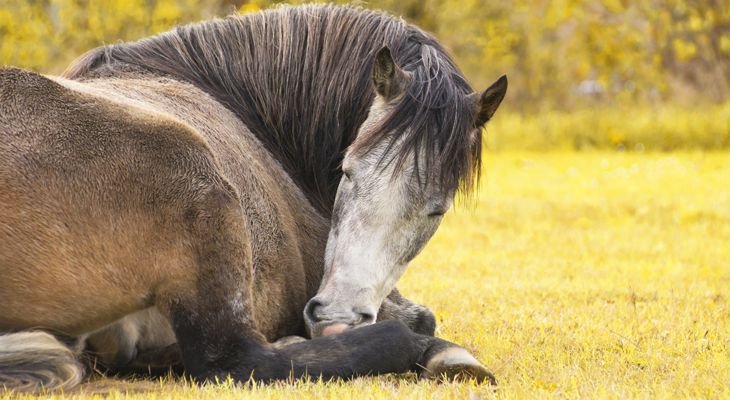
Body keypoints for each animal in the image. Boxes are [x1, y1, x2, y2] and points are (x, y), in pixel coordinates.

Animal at [0, 3, 506, 392]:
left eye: (436, 210)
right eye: (348, 170)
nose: (337, 317)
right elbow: (421, 317)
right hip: (200, 187)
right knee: (235, 359)